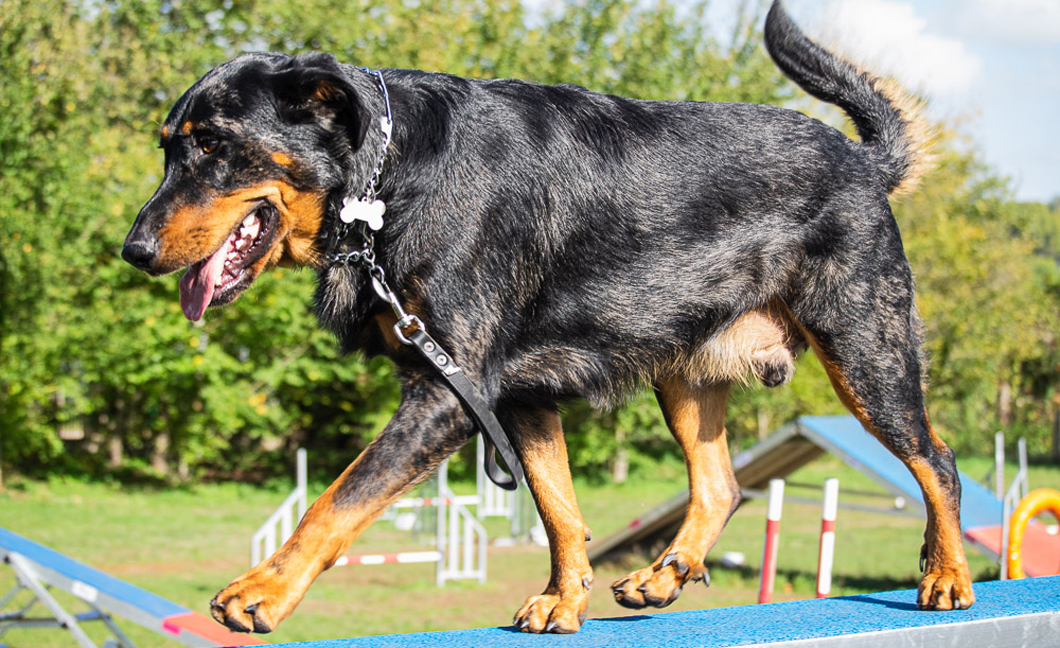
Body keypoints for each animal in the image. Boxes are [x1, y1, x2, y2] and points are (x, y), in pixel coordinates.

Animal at [124, 0, 975, 636]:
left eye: (214, 144)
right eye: (168, 147)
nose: (133, 250)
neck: (388, 178)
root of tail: (865, 164)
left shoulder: (445, 392)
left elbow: (341, 496)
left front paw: (264, 589)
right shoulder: (518, 399)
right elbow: (559, 508)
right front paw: (566, 600)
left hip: (865, 349)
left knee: (936, 458)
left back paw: (947, 576)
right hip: (685, 371)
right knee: (720, 484)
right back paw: (665, 575)